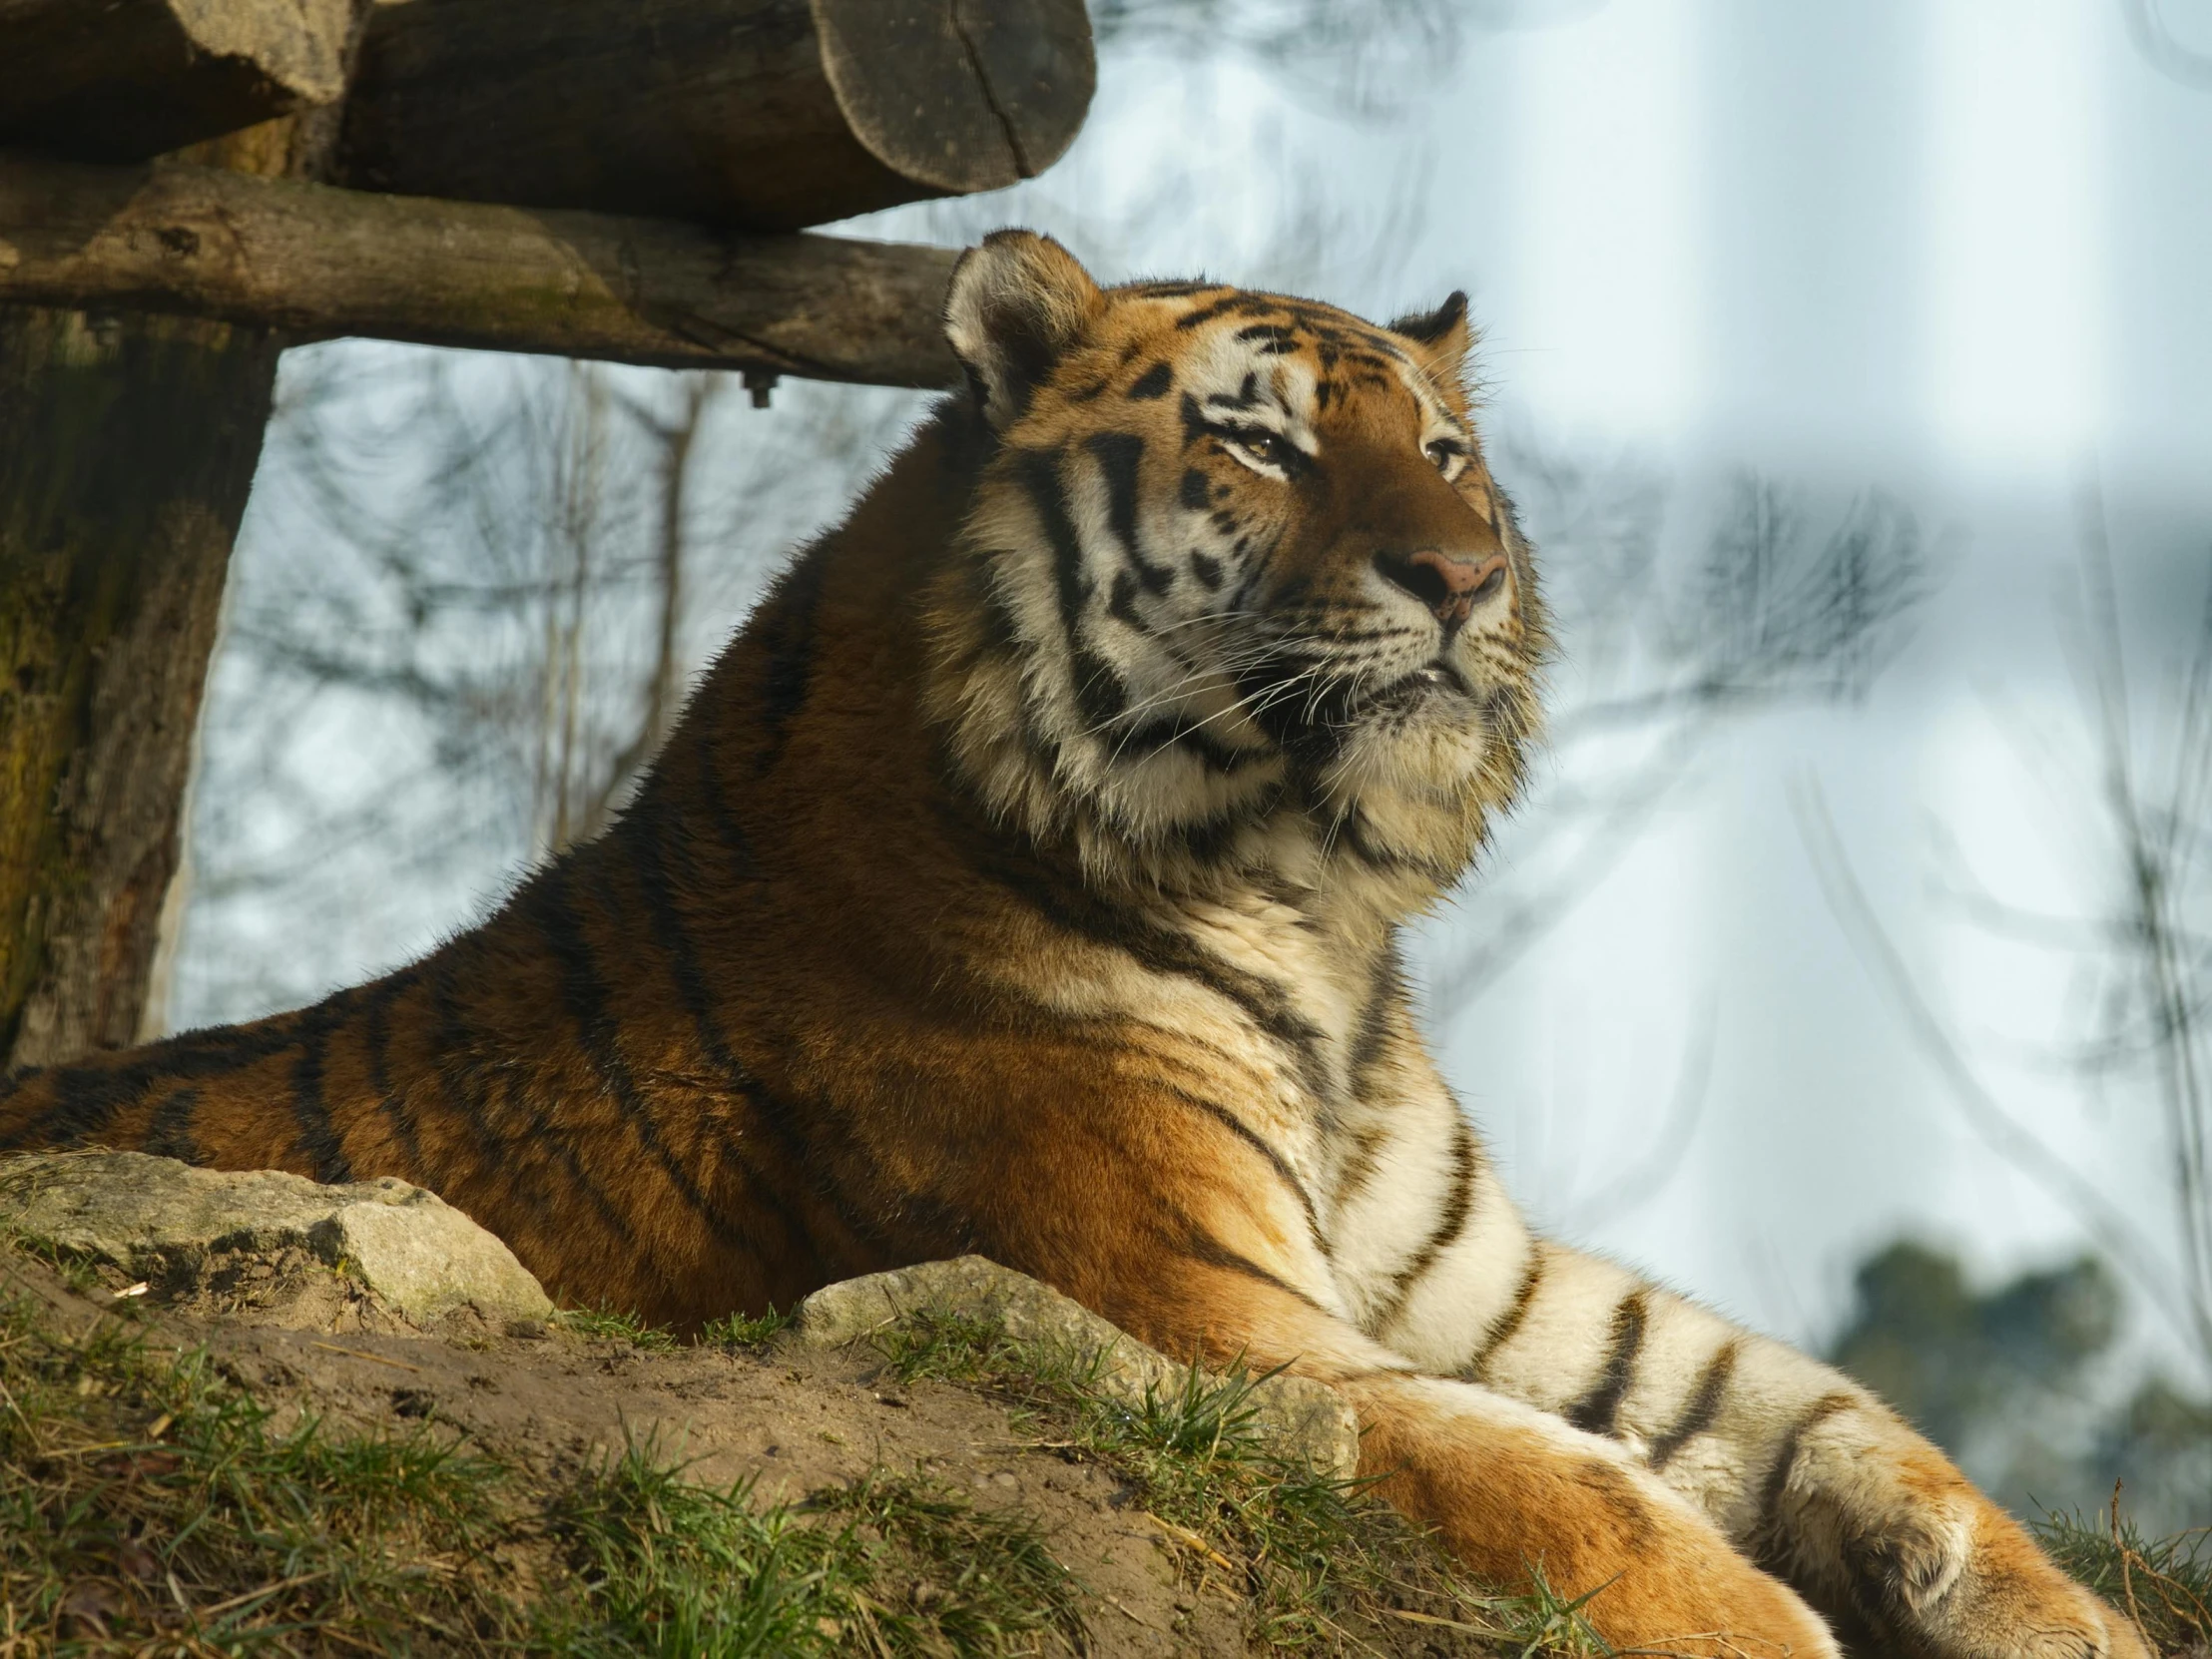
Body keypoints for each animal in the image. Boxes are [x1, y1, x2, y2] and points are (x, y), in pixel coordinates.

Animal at [0, 234, 2141, 1659]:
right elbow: (1578, 1491)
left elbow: (1842, 1418)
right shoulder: (1216, 1316)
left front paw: (2066, 1623)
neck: (1317, 911)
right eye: (1263, 446)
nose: (1464, 580)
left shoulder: (1505, 1294)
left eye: (1446, 454)